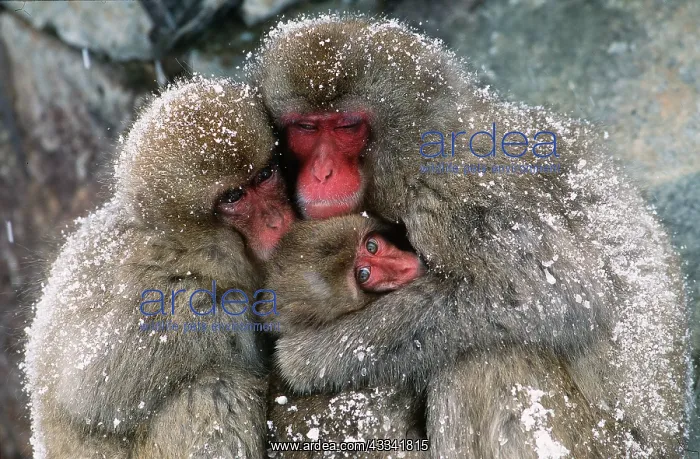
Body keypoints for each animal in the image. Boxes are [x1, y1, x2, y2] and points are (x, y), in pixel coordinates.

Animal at [23, 77, 295, 458]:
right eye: (233, 196)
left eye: (265, 175)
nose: (276, 220)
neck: (183, 247)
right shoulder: (158, 288)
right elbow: (92, 388)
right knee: (214, 390)